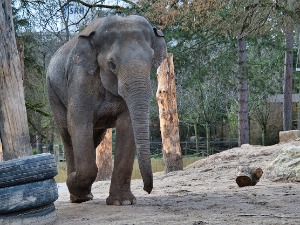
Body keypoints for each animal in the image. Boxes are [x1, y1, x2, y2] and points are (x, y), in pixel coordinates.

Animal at [46, 15, 166, 206]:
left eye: (152, 60)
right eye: (112, 64)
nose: (147, 190)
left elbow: (127, 126)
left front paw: (123, 202)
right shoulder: (80, 79)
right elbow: (78, 123)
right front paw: (72, 181)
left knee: (94, 138)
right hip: (53, 92)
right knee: (67, 135)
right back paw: (78, 197)